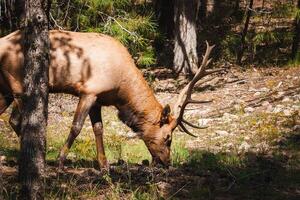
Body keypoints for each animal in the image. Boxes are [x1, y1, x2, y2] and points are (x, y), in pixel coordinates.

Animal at [0, 30, 220, 169]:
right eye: (168, 137)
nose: (167, 162)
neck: (120, 89)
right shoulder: (88, 91)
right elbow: (76, 127)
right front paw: (61, 162)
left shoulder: (98, 98)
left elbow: (99, 129)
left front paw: (104, 165)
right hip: (18, 85)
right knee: (18, 120)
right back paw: (40, 158)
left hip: (5, 90)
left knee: (8, 117)